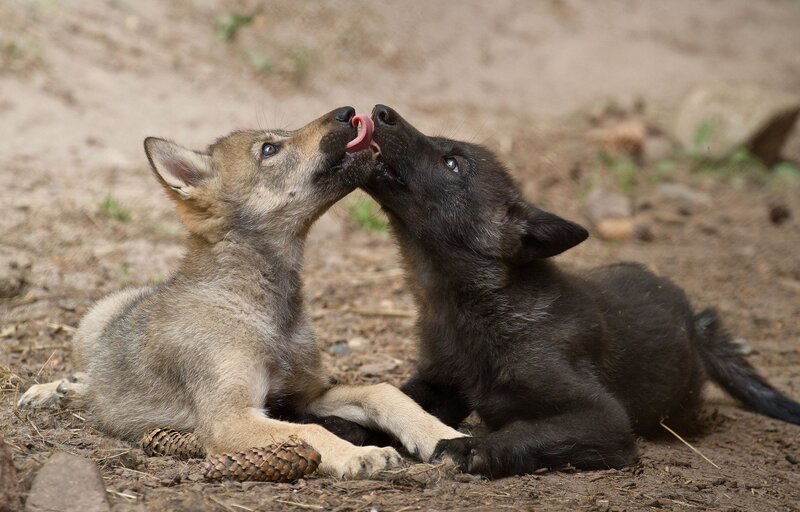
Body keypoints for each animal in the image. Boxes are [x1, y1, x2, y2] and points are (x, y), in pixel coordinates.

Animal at [17, 107, 464, 478]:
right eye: (269, 149)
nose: (349, 111)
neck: (262, 307)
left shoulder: (307, 394)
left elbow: (383, 392)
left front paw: (443, 436)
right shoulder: (231, 418)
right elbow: (313, 432)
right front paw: (360, 455)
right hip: (91, 320)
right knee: (89, 374)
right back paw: (51, 391)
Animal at [359, 104, 800, 478]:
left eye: (452, 163)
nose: (379, 111)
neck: (468, 311)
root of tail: (695, 325)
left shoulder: (604, 416)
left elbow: (523, 433)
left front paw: (471, 448)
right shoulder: (439, 382)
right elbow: (391, 398)